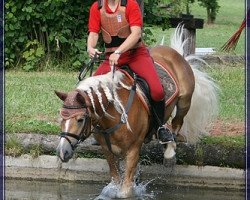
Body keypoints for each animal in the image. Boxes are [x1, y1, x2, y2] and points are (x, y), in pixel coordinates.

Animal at [55, 25, 219, 198]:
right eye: (61, 119)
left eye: (80, 120)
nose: (62, 152)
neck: (114, 114)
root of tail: (175, 52)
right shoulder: (107, 150)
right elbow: (114, 179)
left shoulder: (133, 149)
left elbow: (125, 190)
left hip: (184, 102)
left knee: (176, 123)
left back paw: (169, 151)